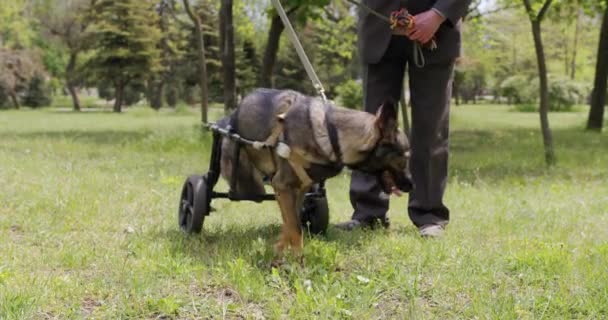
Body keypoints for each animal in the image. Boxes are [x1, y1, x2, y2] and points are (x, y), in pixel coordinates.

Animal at [218, 88, 414, 255]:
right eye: (405, 157)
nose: (411, 186)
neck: (334, 136)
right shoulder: (283, 186)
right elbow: (295, 228)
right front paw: (297, 263)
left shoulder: (299, 188)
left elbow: (290, 224)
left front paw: (280, 250)